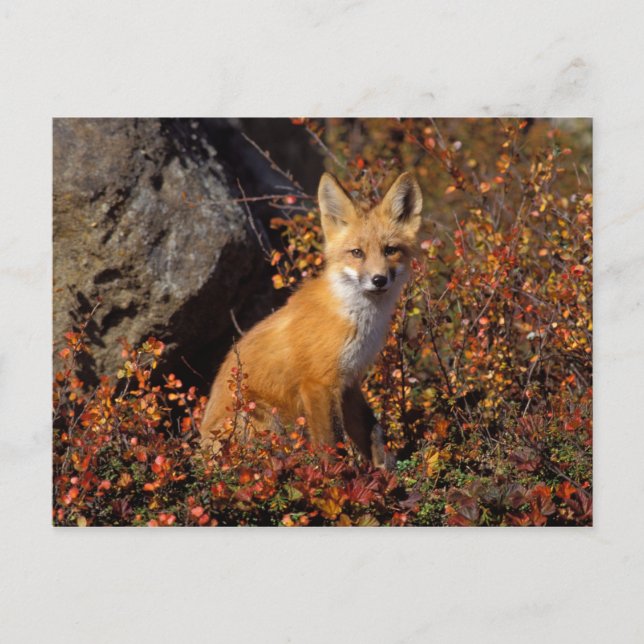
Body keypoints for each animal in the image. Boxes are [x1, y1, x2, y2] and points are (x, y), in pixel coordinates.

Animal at [200, 171, 423, 467]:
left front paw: (384, 470)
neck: (355, 318)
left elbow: (372, 431)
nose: (379, 280)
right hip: (267, 420)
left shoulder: (349, 382)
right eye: (357, 253)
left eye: (390, 250)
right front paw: (341, 477)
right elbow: (333, 445)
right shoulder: (318, 383)